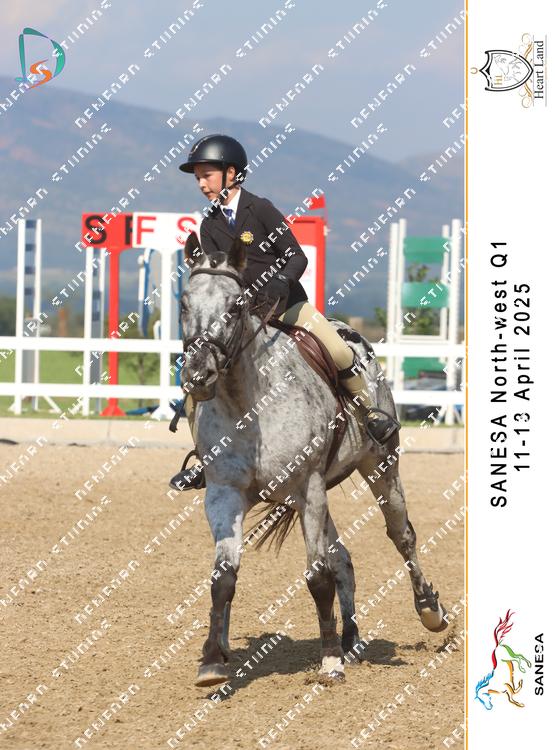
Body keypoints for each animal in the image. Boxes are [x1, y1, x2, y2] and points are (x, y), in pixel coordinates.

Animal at [178, 232, 448, 688]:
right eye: (183, 304)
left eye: (235, 307)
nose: (198, 377)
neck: (247, 404)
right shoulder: (224, 493)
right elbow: (223, 576)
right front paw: (213, 660)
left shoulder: (308, 487)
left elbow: (317, 577)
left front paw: (328, 662)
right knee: (344, 559)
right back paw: (351, 639)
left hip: (379, 468)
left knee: (402, 537)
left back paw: (430, 612)